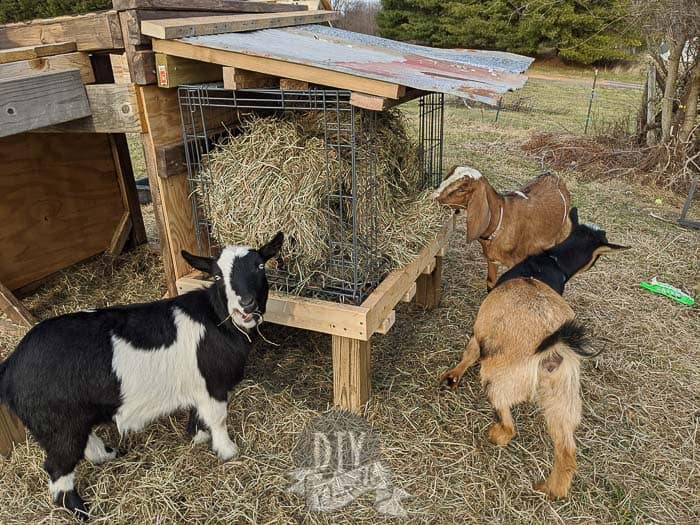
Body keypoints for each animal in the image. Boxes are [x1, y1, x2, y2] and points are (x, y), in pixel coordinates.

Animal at [0, 232, 284, 516]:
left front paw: (198, 436)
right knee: (58, 467)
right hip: (56, 423)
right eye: (216, 276)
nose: (246, 305)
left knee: (85, 444)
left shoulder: (198, 385)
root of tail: (11, 366)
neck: (216, 317)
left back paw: (108, 454)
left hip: (74, 417)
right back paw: (80, 510)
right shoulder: (213, 384)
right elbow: (218, 419)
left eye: (260, 266)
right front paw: (227, 451)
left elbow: (198, 413)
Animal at [434, 165, 572, 288]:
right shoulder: (492, 259)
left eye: (462, 189)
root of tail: (554, 176)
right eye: (448, 177)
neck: (501, 220)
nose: (434, 197)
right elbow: (491, 283)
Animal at [440, 208, 628, 496]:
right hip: (564, 397)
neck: (549, 263)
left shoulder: (481, 330)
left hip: (499, 379)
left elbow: (470, 352)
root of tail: (553, 349)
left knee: (509, 426)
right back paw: (551, 489)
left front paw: (452, 377)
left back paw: (496, 434)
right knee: (567, 451)